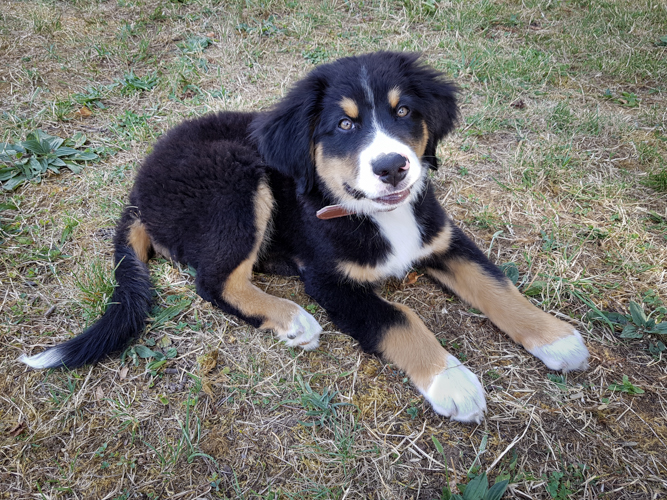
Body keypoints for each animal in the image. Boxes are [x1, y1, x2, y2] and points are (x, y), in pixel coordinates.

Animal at [18, 52, 588, 424]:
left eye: (404, 112)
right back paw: (290, 320)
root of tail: (138, 187)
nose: (392, 167)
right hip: (237, 180)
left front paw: (554, 337)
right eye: (344, 125)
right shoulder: (329, 281)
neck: (369, 212)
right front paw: (451, 380)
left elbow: (496, 285)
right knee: (214, 282)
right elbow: (400, 318)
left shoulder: (444, 239)